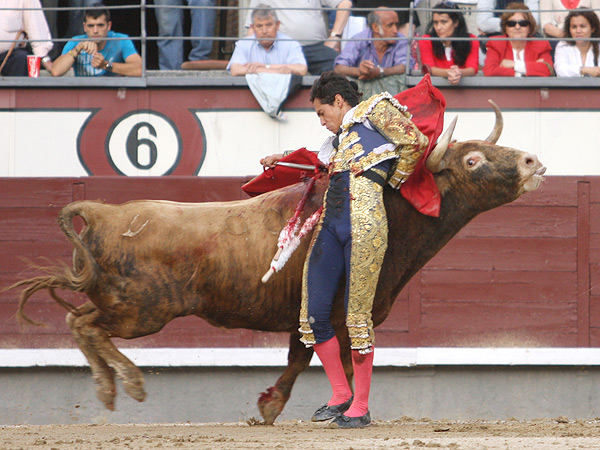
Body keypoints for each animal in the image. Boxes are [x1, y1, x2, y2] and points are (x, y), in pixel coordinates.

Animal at [8, 103, 544, 424]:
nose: (532, 163)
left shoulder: (310, 314)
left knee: (78, 321)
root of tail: (106, 213)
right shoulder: (343, 312)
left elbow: (305, 358)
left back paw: (108, 390)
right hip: (143, 311)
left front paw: (275, 408)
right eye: (473, 160)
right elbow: (336, 359)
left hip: (127, 305)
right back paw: (129, 386)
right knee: (87, 325)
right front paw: (339, 410)